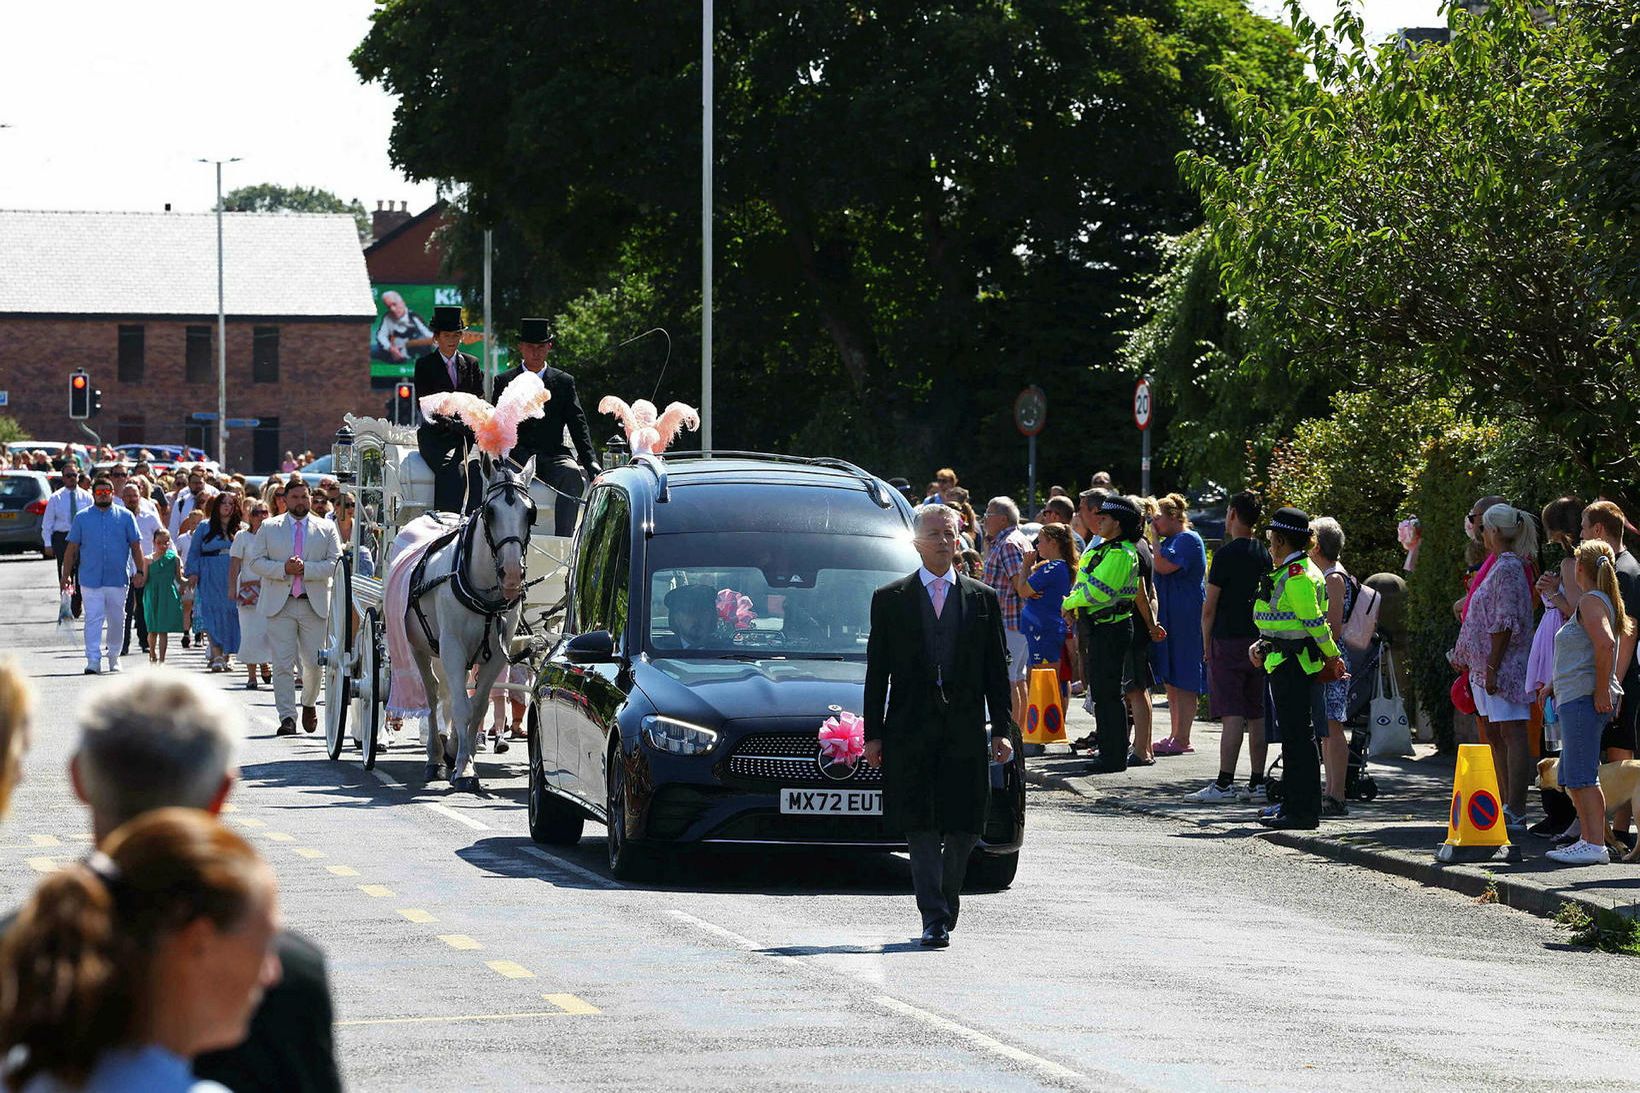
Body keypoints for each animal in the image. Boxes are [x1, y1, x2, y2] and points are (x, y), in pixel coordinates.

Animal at [403, 449, 537, 791]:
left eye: (530, 514)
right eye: (490, 512)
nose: (512, 575)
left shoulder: (495, 654)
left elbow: (477, 708)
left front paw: (464, 760)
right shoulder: (452, 647)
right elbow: (462, 707)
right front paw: (462, 769)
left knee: (451, 694)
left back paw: (449, 747)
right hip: (420, 648)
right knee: (433, 694)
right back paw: (435, 758)